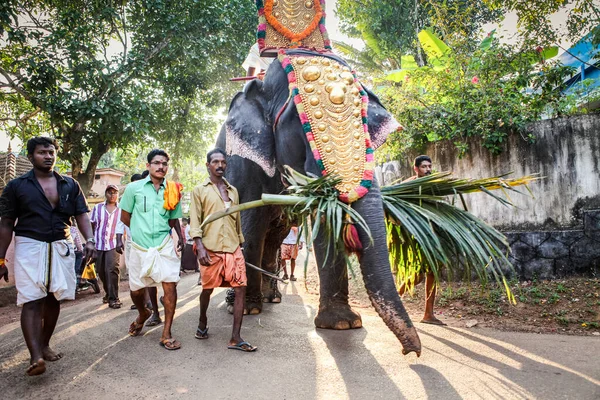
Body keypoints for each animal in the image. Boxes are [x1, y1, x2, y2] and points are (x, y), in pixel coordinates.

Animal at [216, 48, 422, 354]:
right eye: (299, 125)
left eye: (365, 121)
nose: (410, 351)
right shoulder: (243, 155)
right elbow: (249, 219)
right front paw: (246, 309)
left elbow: (325, 217)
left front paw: (342, 324)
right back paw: (247, 301)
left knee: (275, 235)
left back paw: (272, 296)